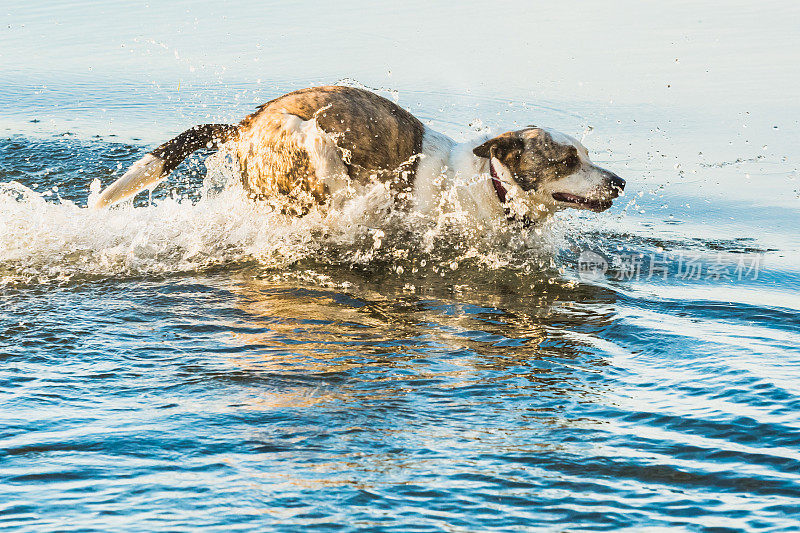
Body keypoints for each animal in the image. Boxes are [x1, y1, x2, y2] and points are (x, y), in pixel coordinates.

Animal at [92, 85, 624, 222]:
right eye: (568, 161)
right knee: (322, 154)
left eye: (588, 154)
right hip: (303, 142)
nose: (619, 183)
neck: (488, 186)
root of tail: (244, 127)